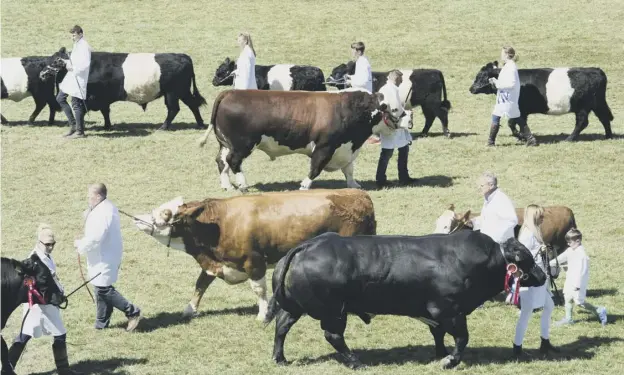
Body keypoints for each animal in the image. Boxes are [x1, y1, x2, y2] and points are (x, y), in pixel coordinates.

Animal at [40, 47, 208, 131]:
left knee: (174, 109)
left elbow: (103, 110)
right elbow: (105, 111)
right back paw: (200, 124)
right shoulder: (101, 98)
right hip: (181, 91)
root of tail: (183, 56)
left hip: (173, 92)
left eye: (54, 61)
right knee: (192, 104)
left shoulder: (97, 96)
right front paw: (107, 126)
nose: (42, 74)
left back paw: (164, 127)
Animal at [132, 189, 376, 322]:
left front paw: (263, 314)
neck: (219, 223)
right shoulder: (215, 263)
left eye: (165, 214)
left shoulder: (254, 262)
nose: (136, 218)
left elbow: (259, 289)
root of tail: (359, 195)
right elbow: (201, 284)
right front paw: (189, 310)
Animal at [264, 232, 544, 370]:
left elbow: (438, 334)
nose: (542, 276)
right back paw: (355, 362)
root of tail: (308, 245)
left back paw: (280, 358)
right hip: (335, 312)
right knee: (333, 336)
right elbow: (462, 338)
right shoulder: (449, 309)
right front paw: (450, 361)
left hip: (295, 307)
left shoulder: (435, 313)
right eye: (527, 259)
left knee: (282, 326)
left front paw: (440, 353)